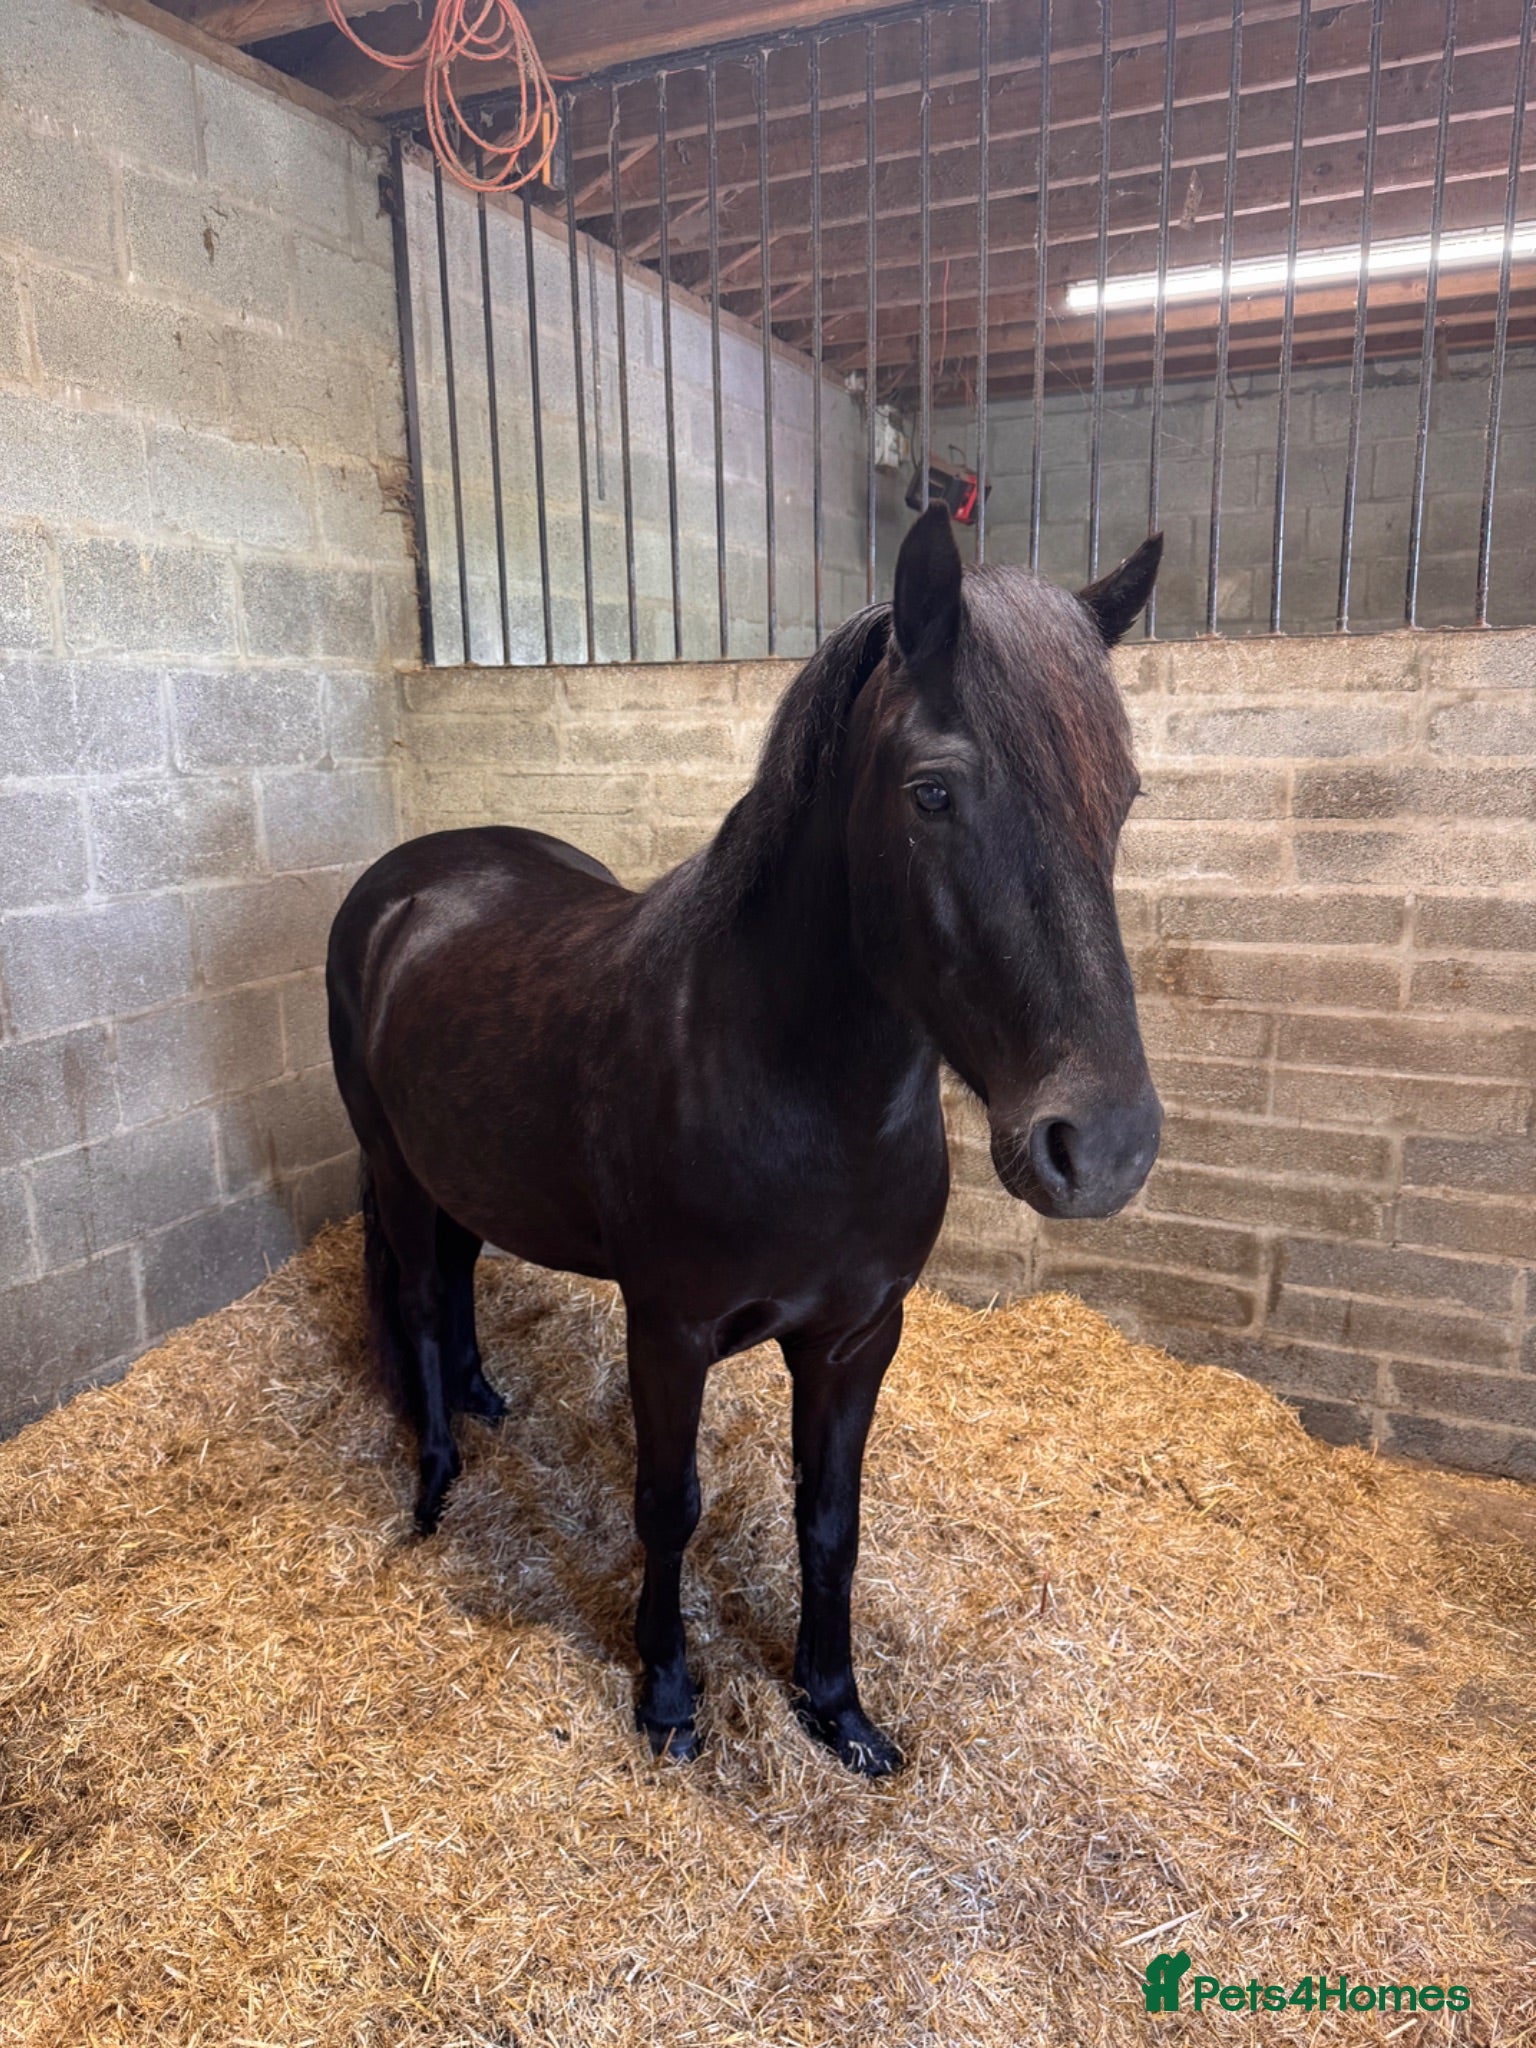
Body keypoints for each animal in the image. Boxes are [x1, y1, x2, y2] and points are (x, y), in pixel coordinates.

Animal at [326, 505, 1163, 1776]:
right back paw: (432, 1484)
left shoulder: (857, 1337)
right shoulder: (668, 1330)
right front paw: (669, 1695)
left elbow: (831, 1516)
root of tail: (409, 882)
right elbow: (667, 1504)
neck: (801, 1098)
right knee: (419, 1302)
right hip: (395, 1166)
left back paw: (481, 1398)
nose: (1103, 1146)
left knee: (461, 1280)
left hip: (458, 1169)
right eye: (931, 793)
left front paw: (838, 1706)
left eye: (1121, 796)